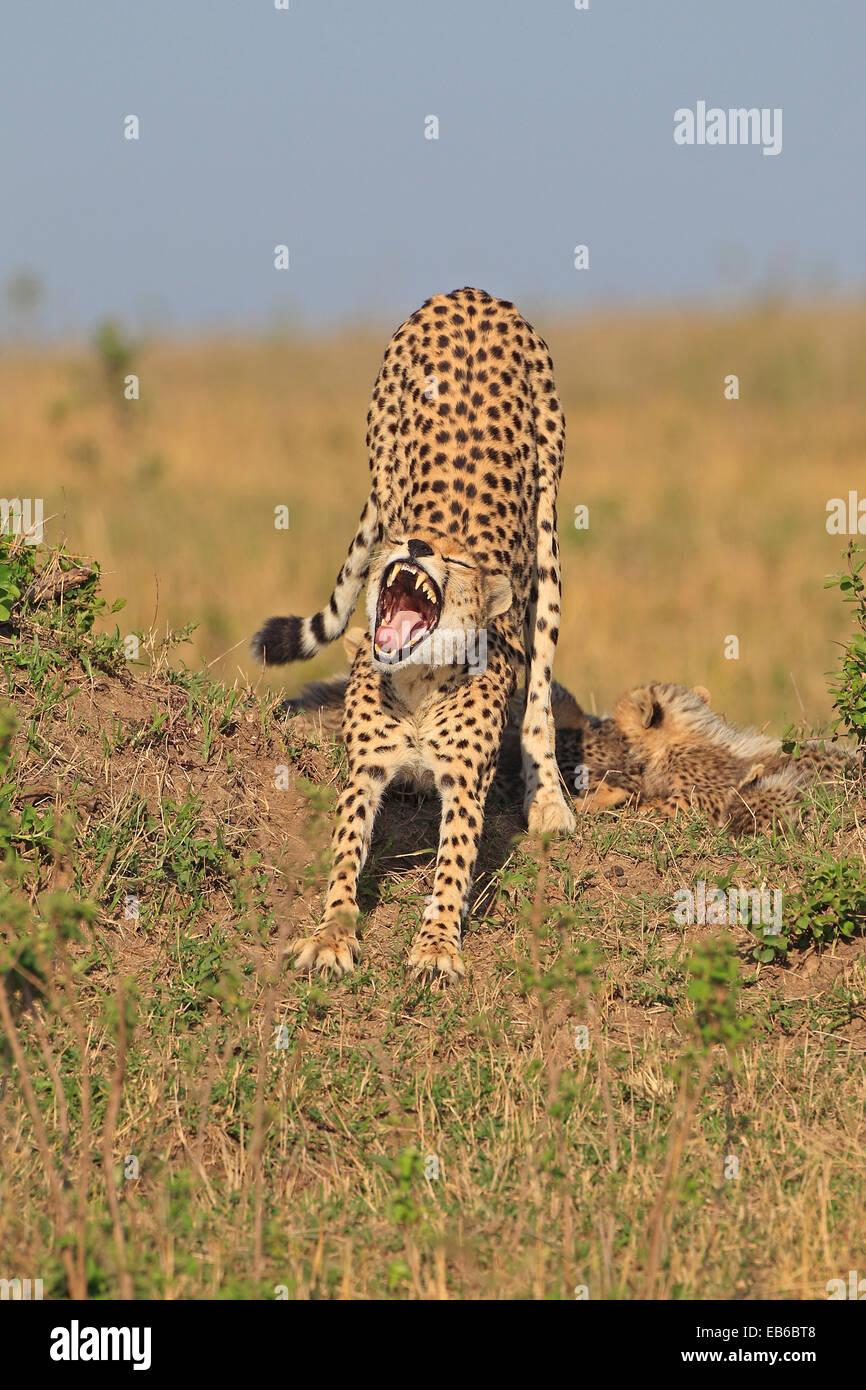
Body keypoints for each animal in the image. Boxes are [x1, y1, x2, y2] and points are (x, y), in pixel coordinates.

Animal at [252, 287, 576, 981]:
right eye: (405, 541)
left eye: (451, 560)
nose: (417, 546)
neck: (421, 677)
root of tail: (473, 292)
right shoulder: (365, 770)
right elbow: (346, 853)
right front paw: (331, 934)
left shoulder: (463, 783)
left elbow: (452, 868)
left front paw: (435, 946)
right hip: (380, 461)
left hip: (549, 526)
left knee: (539, 684)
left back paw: (548, 800)